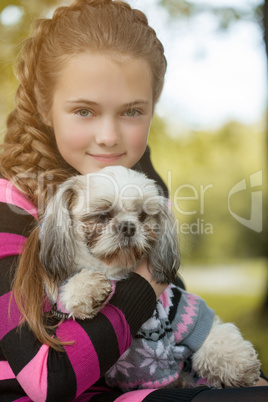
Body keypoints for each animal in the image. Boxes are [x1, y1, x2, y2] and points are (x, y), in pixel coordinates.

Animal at [38, 166, 260, 390]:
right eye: (103, 215)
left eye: (143, 215)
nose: (128, 226)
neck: (115, 271)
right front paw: (87, 290)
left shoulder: (184, 310)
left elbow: (213, 334)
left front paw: (239, 365)